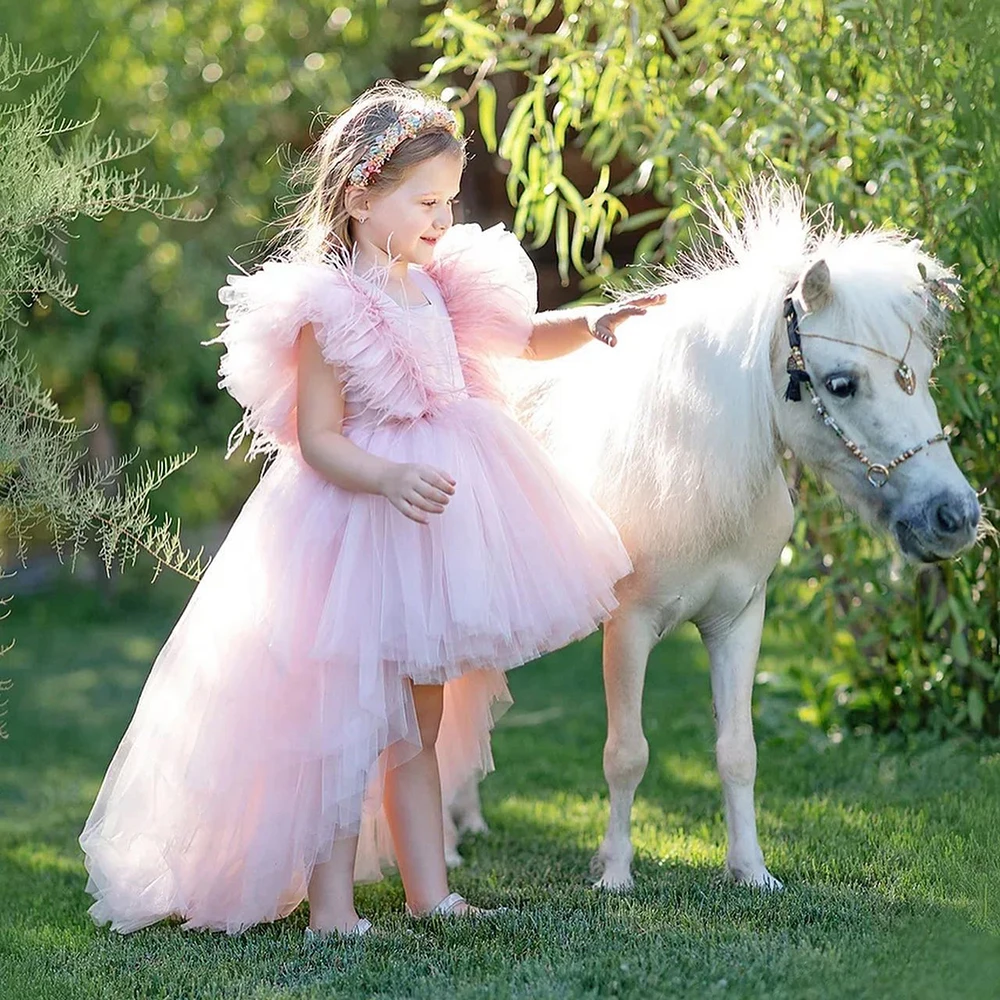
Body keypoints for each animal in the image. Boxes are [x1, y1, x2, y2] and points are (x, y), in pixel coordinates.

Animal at [450, 184, 980, 888]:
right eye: (841, 383)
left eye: (923, 369)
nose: (955, 517)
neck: (694, 462)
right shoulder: (630, 627)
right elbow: (627, 753)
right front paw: (614, 872)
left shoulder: (738, 621)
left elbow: (738, 752)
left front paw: (751, 870)